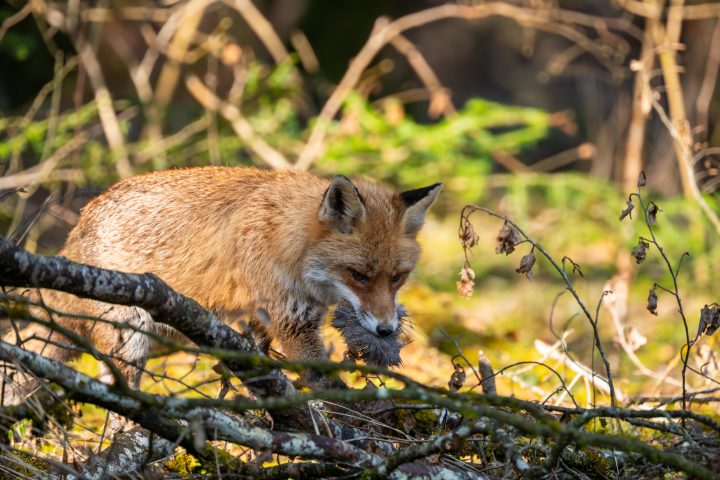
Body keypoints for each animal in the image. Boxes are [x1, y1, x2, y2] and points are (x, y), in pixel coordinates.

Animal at [2, 167, 441, 398]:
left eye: (397, 277)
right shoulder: (292, 321)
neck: (290, 241)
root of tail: (76, 230)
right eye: (359, 275)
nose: (386, 329)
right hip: (132, 334)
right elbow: (327, 386)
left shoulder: (272, 317)